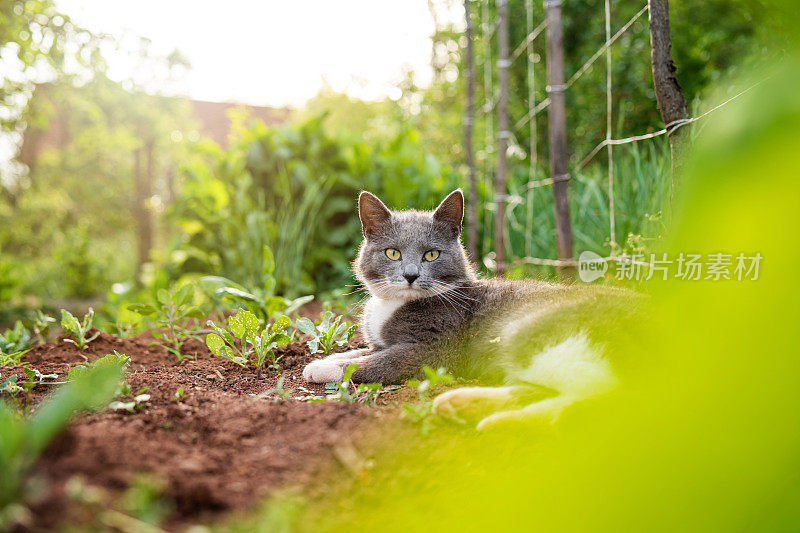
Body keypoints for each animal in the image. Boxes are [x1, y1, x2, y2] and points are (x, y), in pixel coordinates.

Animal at [302, 189, 644, 426]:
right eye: (392, 253)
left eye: (431, 254)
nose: (411, 275)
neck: (393, 304)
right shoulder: (381, 341)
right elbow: (359, 352)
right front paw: (321, 360)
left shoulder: (432, 349)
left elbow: (372, 363)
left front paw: (325, 368)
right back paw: (460, 404)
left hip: (529, 330)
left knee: (599, 398)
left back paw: (501, 423)